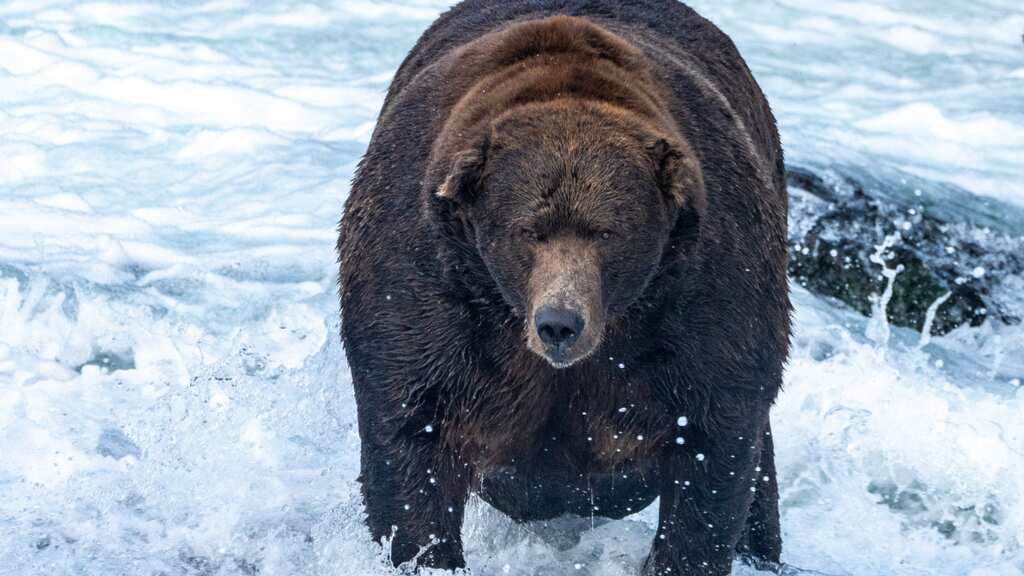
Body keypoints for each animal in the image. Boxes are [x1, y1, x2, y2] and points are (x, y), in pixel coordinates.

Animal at [338, 1, 790, 575]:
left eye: (607, 232)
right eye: (528, 230)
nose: (559, 323)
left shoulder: (705, 288)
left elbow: (713, 446)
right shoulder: (426, 278)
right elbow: (412, 433)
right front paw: (426, 549)